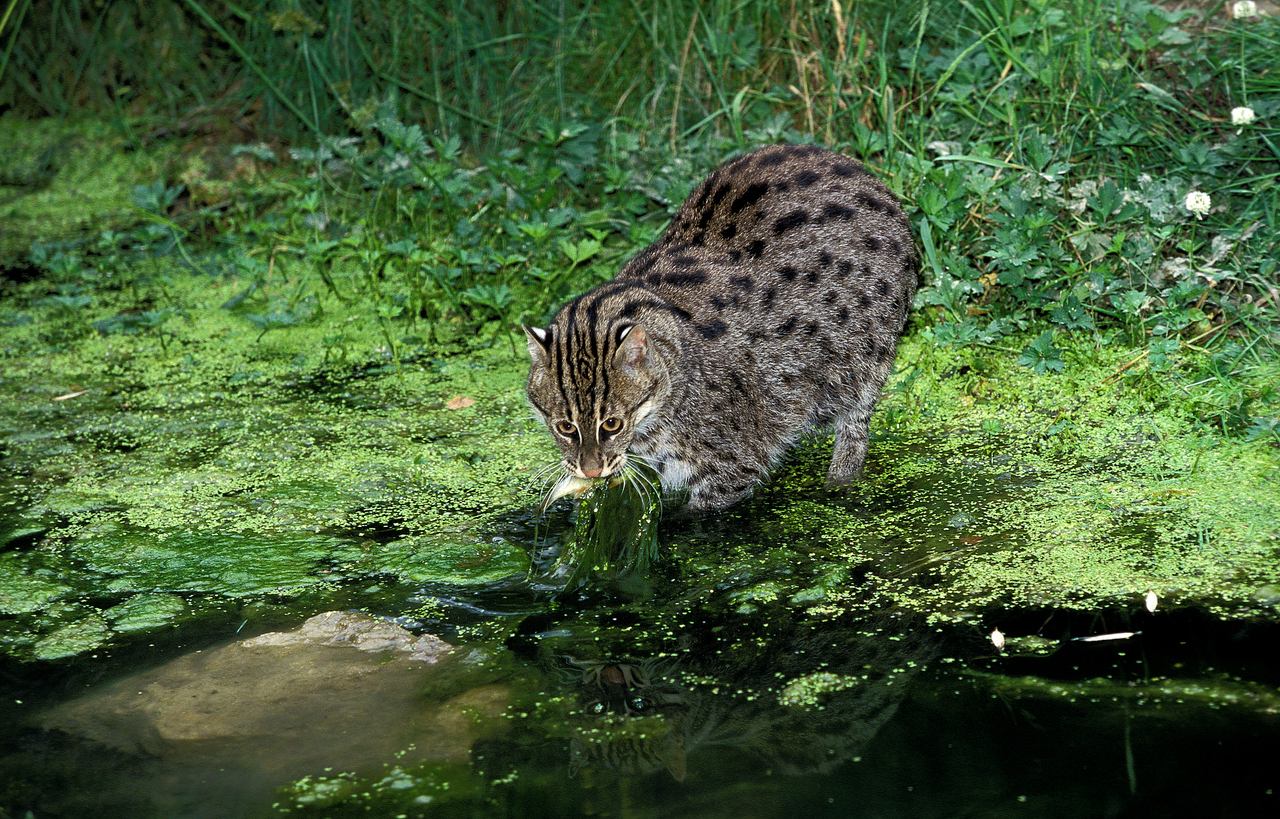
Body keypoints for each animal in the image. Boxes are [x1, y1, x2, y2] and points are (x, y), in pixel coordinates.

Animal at [524, 143, 916, 509]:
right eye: (564, 427)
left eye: (611, 424)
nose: (590, 471)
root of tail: (867, 175)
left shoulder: (732, 466)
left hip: (865, 354)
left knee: (855, 422)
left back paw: (841, 478)